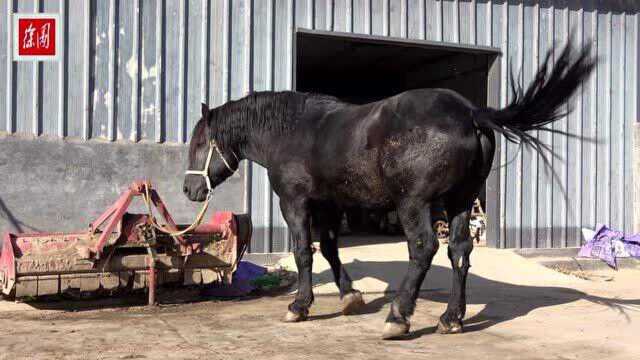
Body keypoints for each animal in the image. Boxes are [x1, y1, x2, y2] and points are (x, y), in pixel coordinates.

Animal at [184, 42, 596, 340]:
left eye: (201, 144)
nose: (190, 189)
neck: (294, 131)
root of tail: (469, 113)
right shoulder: (331, 204)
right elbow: (330, 249)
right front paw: (350, 297)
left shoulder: (296, 203)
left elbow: (304, 252)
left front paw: (299, 307)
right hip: (461, 201)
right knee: (459, 251)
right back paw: (451, 318)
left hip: (413, 203)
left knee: (424, 248)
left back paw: (399, 317)